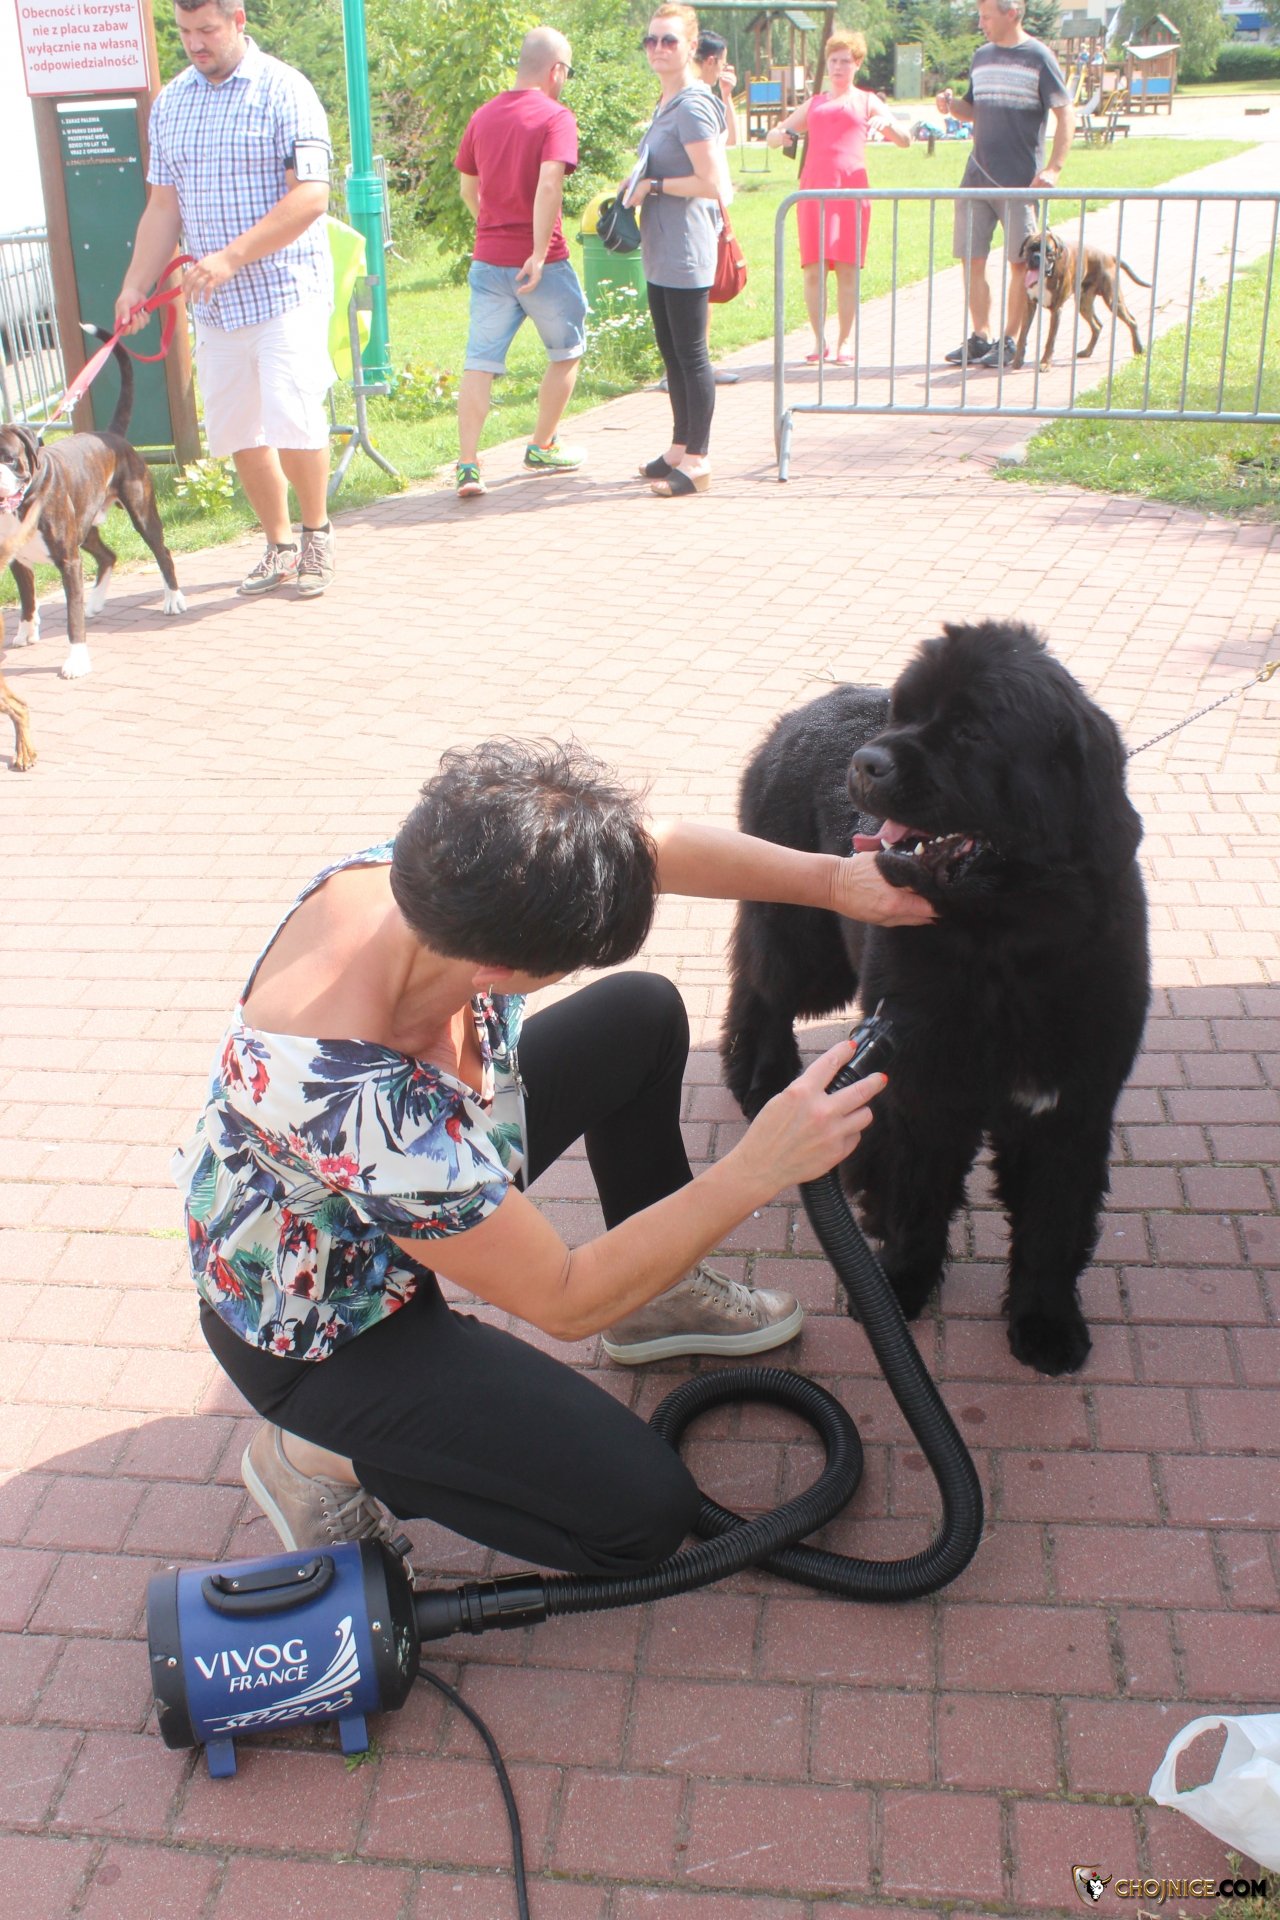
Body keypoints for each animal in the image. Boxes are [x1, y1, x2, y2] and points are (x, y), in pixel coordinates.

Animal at [0, 327, 185, 687]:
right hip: (85, 529)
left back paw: (172, 598)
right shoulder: (17, 559)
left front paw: (76, 661)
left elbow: (71, 618)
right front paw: (26, 632)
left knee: (163, 553)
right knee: (108, 556)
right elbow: (27, 599)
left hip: (142, 514)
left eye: (10, 459)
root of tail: (110, 435)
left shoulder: (68, 562)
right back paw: (96, 601)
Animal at [721, 622, 1150, 1376]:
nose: (866, 762)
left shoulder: (1071, 1106)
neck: (1001, 948)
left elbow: (1052, 1223)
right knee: (761, 982)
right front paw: (898, 1288)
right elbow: (918, 1196)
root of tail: (809, 707)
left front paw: (1045, 1322)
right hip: (805, 934)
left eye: (974, 731)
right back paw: (762, 1077)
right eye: (905, 713)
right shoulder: (919, 1084)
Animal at [1014, 228, 1150, 371]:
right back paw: (1087, 351)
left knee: (1132, 321)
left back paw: (1139, 349)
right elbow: (1022, 335)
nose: (1037, 257)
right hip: (1083, 304)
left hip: (1113, 301)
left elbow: (1050, 340)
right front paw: (1018, 360)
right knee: (1097, 326)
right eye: (1030, 249)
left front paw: (1045, 363)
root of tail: (1109, 256)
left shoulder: (1056, 310)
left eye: (1049, 252)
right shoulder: (1029, 306)